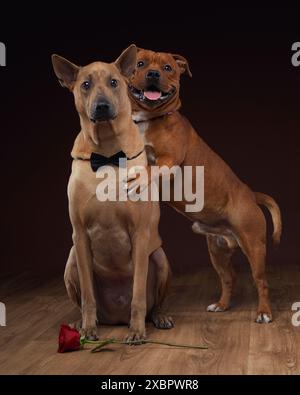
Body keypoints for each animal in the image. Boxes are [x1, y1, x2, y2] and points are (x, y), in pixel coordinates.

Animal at [51, 44, 173, 340]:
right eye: (85, 85)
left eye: (114, 82)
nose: (102, 106)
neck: (106, 152)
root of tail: (116, 318)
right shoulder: (80, 235)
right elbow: (88, 296)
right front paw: (88, 328)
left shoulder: (140, 234)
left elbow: (138, 293)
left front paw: (137, 331)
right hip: (71, 259)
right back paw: (78, 324)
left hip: (160, 257)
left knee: (154, 303)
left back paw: (159, 317)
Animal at [127, 48, 282, 324]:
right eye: (140, 63)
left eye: (167, 68)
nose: (153, 73)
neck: (149, 118)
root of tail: (251, 194)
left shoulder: (168, 161)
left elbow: (149, 169)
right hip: (217, 251)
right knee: (229, 279)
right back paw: (221, 305)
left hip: (254, 246)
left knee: (261, 282)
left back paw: (264, 313)